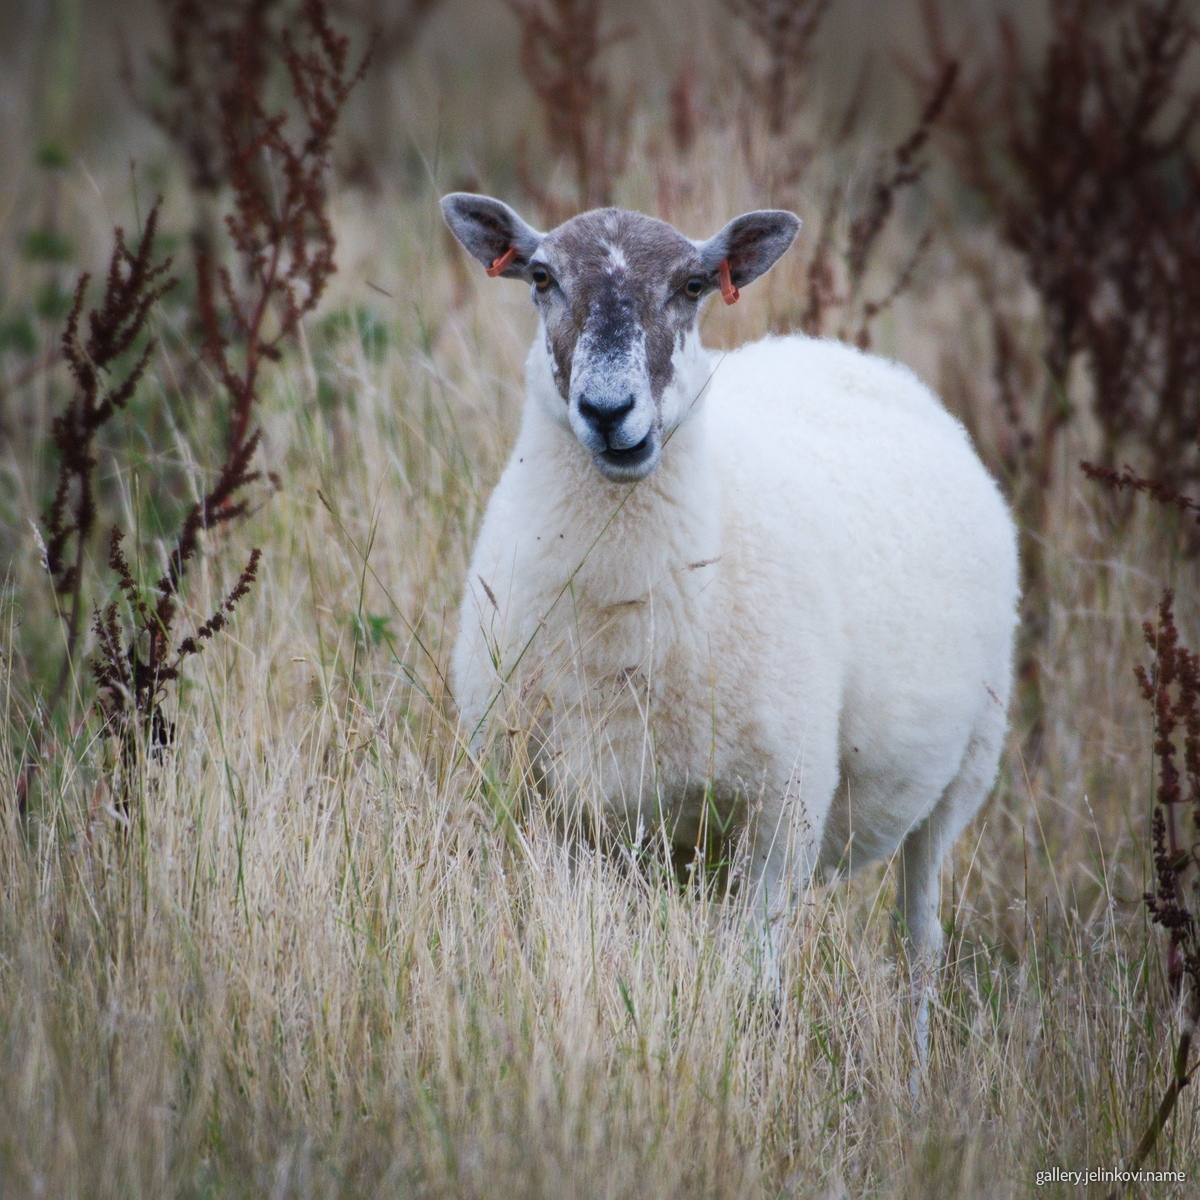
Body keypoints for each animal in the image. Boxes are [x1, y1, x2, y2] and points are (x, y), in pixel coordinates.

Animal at [441, 192, 1019, 1052]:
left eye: (691, 284)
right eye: (541, 277)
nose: (608, 412)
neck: (626, 625)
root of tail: (841, 354)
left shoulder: (783, 814)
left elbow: (756, 988)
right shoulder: (555, 817)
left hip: (964, 769)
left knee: (919, 941)